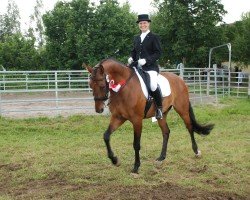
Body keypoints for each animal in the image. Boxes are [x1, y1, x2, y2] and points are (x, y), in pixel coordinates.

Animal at [85, 57, 214, 173]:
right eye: (90, 85)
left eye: (102, 86)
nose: (99, 109)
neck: (124, 88)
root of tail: (180, 79)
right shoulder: (118, 117)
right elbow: (106, 136)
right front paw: (115, 160)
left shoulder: (137, 120)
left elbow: (136, 144)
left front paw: (136, 167)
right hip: (162, 114)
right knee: (166, 132)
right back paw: (161, 158)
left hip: (182, 109)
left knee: (189, 127)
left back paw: (196, 152)